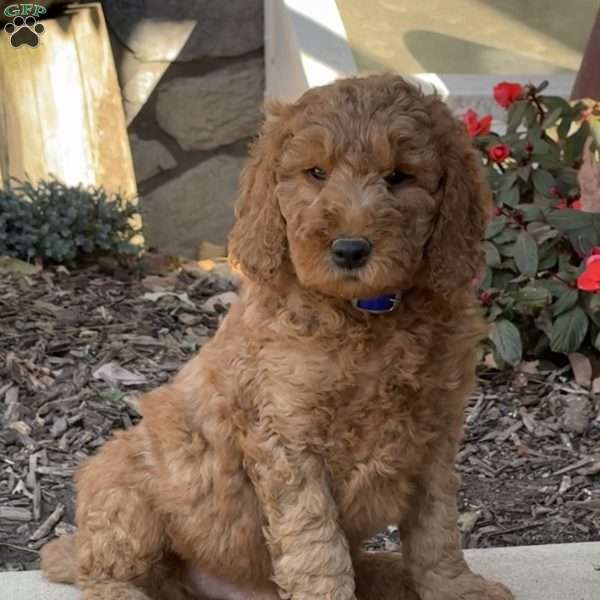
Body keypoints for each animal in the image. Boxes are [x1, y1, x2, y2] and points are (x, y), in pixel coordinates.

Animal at [39, 75, 512, 600]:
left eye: (398, 177)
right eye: (316, 173)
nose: (350, 249)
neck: (365, 313)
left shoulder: (435, 436)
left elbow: (436, 530)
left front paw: (455, 587)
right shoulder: (288, 438)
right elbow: (316, 543)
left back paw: (387, 573)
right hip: (126, 486)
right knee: (103, 571)